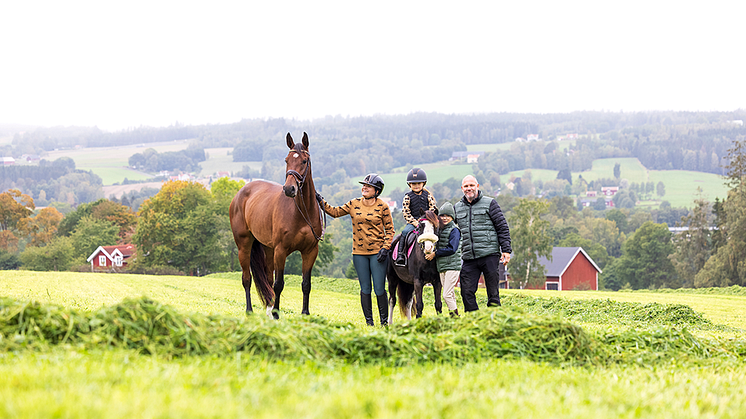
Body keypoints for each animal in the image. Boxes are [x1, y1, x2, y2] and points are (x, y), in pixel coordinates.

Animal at [225, 131, 322, 318]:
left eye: (304, 161)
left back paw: (268, 310)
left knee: (268, 279)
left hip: (268, 248)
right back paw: (250, 310)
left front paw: (305, 313)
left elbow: (306, 284)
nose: (289, 189)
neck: (301, 212)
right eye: (286, 160)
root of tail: (241, 193)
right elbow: (279, 284)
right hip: (244, 246)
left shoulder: (310, 251)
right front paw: (277, 314)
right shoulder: (281, 251)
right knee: (247, 279)